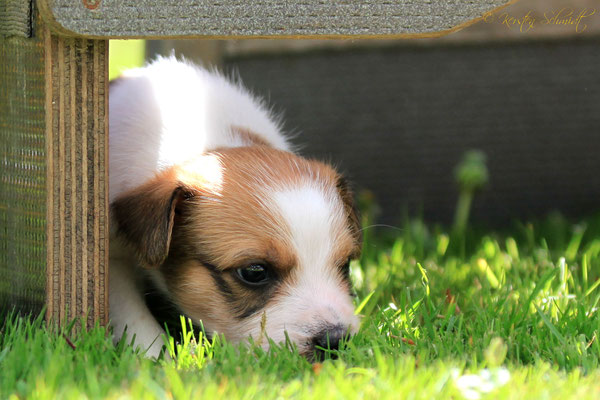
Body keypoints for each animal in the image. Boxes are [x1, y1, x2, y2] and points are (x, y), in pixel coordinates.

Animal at [108, 58, 360, 360]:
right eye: (254, 272)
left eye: (345, 265)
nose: (335, 341)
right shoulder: (113, 259)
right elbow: (128, 308)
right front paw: (157, 355)